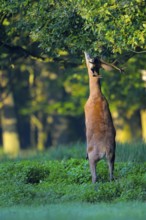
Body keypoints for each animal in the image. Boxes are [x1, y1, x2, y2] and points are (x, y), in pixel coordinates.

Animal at [84, 52, 117, 183]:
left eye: (89, 60)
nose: (86, 52)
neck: (96, 95)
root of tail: (105, 150)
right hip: (113, 156)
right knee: (111, 174)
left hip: (93, 156)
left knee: (95, 177)